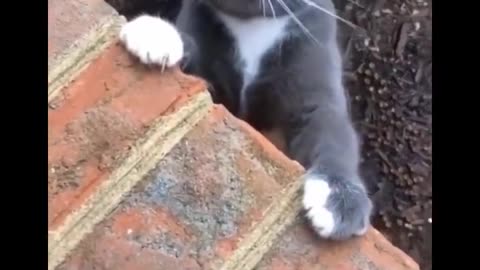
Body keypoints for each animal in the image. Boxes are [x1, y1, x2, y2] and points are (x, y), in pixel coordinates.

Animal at [118, 0, 374, 240]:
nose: (341, 200)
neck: (252, 27)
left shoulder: (317, 93)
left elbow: (334, 135)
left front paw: (340, 198)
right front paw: (158, 34)